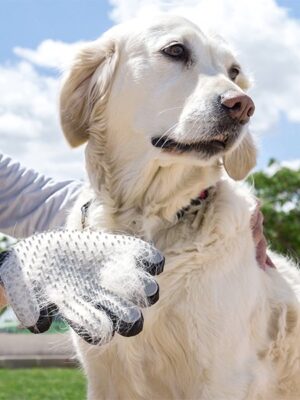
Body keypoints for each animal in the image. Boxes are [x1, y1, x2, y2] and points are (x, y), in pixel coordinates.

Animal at [60, 14, 300, 398]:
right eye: (175, 50)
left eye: (234, 71)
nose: (243, 105)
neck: (146, 219)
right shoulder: (105, 376)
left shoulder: (221, 377)